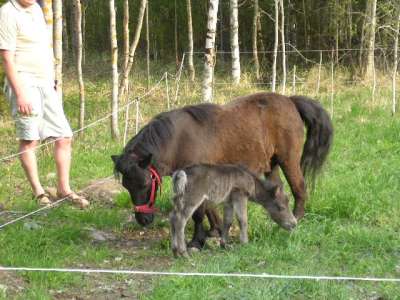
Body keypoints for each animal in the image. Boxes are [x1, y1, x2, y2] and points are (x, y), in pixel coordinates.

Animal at [111, 92, 332, 250]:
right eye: (126, 185)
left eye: (145, 183)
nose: (143, 220)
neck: (178, 141)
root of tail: (290, 101)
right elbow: (209, 207)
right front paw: (216, 231)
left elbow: (199, 213)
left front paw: (197, 241)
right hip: (271, 166)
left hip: (289, 161)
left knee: (300, 190)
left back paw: (296, 220)